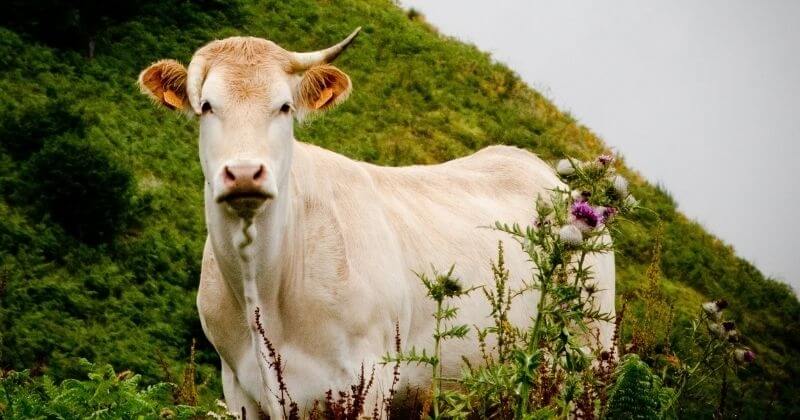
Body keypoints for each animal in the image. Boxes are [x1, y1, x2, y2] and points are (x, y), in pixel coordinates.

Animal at [138, 28, 616, 416]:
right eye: (206, 106)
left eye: (285, 107)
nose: (243, 173)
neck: (263, 289)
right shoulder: (240, 390)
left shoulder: (367, 381)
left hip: (590, 359)